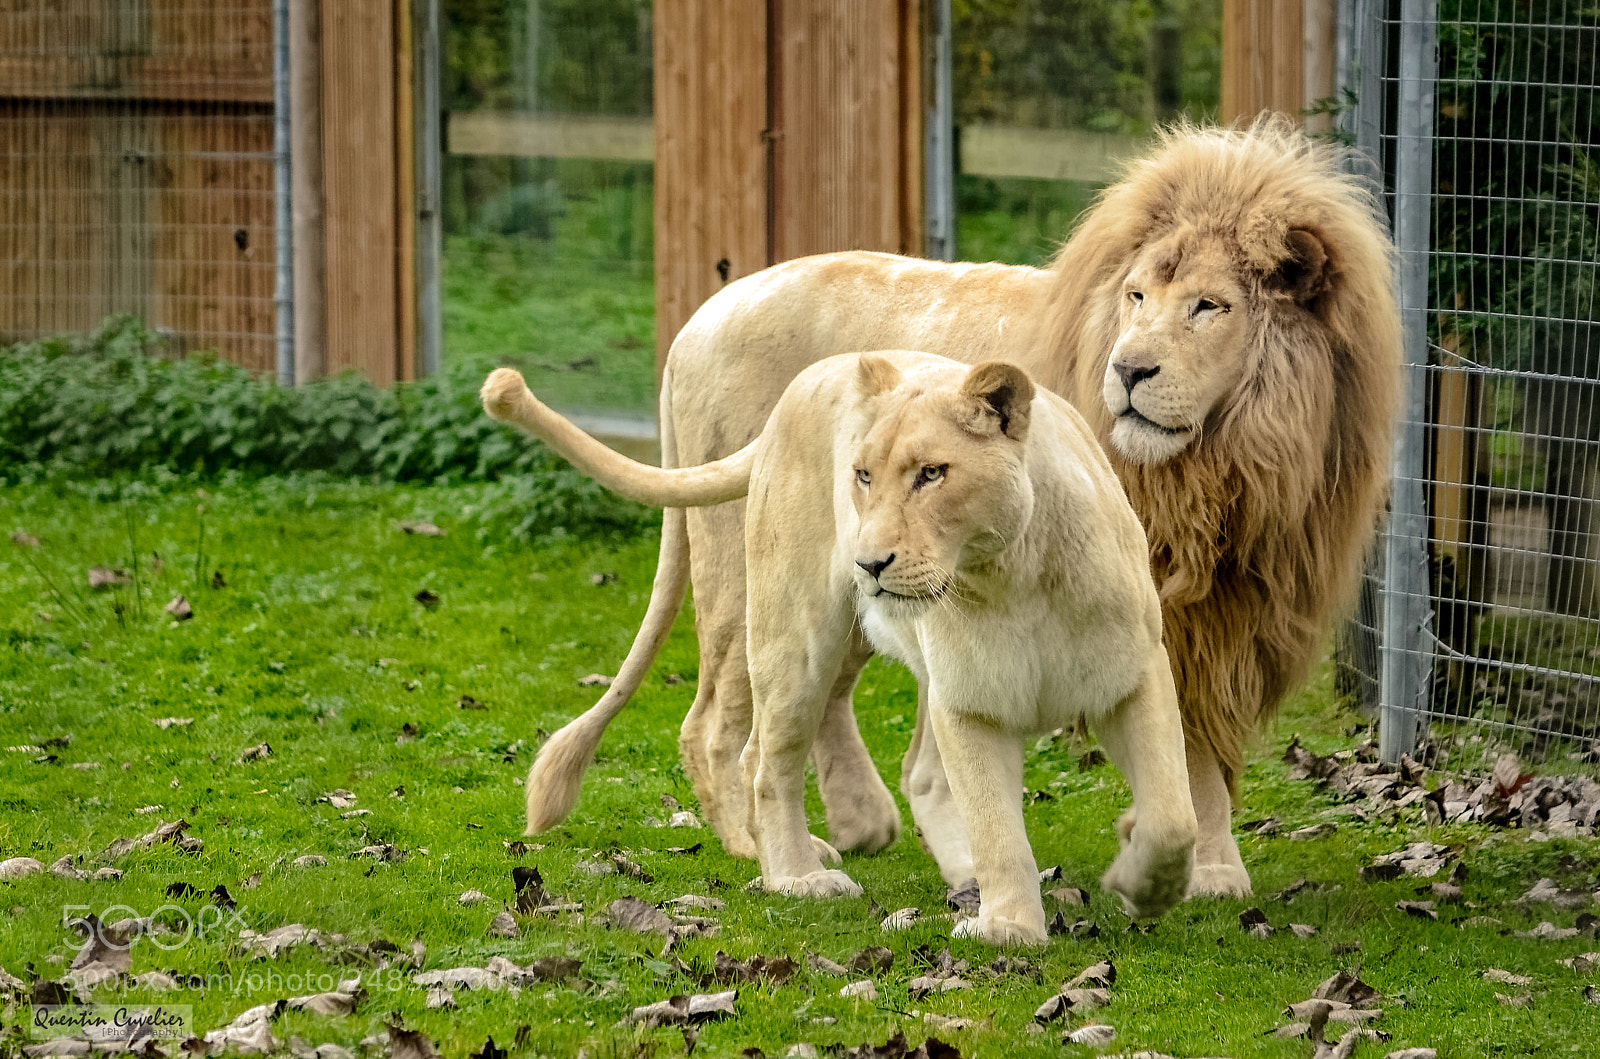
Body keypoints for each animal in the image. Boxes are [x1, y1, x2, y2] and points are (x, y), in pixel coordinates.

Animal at [482, 352, 1198, 945]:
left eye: (931, 473)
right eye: (863, 476)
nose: (869, 564)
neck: (1012, 575)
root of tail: (808, 377)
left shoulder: (1133, 678)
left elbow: (1172, 817)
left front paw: (1141, 886)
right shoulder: (970, 703)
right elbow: (998, 828)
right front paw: (1011, 929)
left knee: (910, 772)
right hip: (794, 637)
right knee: (762, 759)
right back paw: (797, 873)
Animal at [518, 117, 1401, 897]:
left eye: (1210, 306)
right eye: (1137, 295)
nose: (1129, 370)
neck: (1225, 472)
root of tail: (698, 319)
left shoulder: (1226, 613)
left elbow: (1198, 753)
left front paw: (1201, 861)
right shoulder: (1170, 621)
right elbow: (1186, 755)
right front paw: (1205, 870)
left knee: (828, 699)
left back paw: (859, 823)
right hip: (746, 572)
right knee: (722, 725)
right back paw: (764, 849)